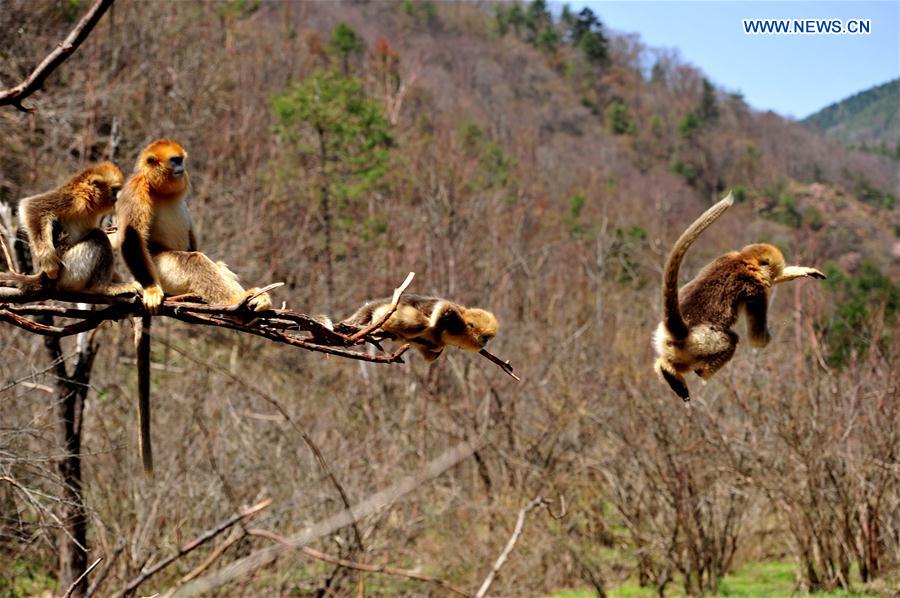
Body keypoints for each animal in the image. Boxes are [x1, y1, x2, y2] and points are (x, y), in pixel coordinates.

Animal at [116, 139, 270, 314]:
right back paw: (238, 302)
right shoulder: (136, 188)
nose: (182, 168)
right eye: (175, 160)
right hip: (160, 271)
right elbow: (132, 236)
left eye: (181, 160)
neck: (158, 189)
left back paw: (256, 298)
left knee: (218, 266)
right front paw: (151, 289)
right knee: (195, 261)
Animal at [342, 294, 500, 360]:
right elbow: (443, 307)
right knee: (421, 323)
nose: (485, 342)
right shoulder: (457, 322)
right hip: (389, 312)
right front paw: (433, 323)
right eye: (485, 337)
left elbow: (432, 354)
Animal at [652, 192, 828, 404]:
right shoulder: (756, 288)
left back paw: (667, 371)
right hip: (702, 340)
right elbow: (757, 338)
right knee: (730, 340)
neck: (743, 260)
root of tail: (680, 331)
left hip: (671, 344)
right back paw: (700, 371)